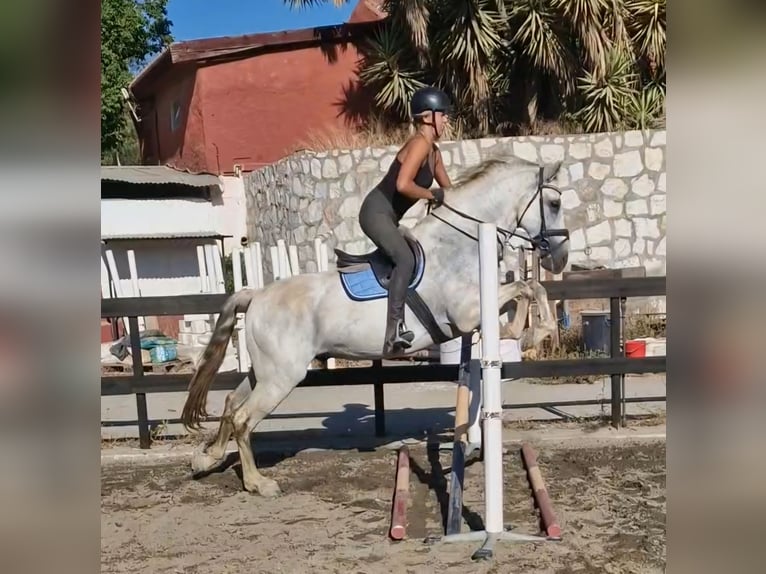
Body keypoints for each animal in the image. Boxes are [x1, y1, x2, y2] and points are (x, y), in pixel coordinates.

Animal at [184, 155, 568, 498]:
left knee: (231, 403)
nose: (561, 258)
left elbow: (525, 292)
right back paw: (258, 483)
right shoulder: (465, 314)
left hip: (265, 372)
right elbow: (528, 286)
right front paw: (533, 333)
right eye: (554, 202)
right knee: (243, 419)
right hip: (282, 377)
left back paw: (207, 458)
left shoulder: (473, 316)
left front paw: (523, 333)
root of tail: (256, 295)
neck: (461, 243)